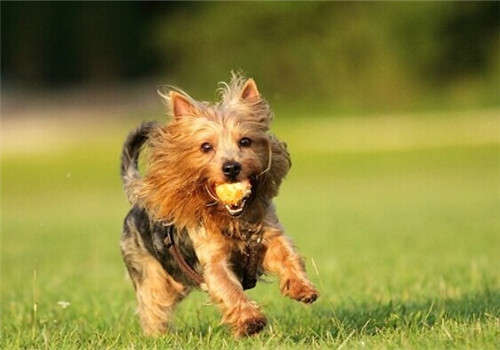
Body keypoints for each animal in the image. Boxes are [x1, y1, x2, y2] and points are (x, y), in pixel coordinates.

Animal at [119, 73, 318, 336]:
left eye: (245, 141)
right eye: (206, 146)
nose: (231, 167)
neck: (234, 217)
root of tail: (139, 200)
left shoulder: (269, 235)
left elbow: (287, 255)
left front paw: (301, 287)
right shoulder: (213, 259)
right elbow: (228, 287)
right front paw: (250, 321)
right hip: (151, 273)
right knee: (153, 304)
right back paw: (157, 336)